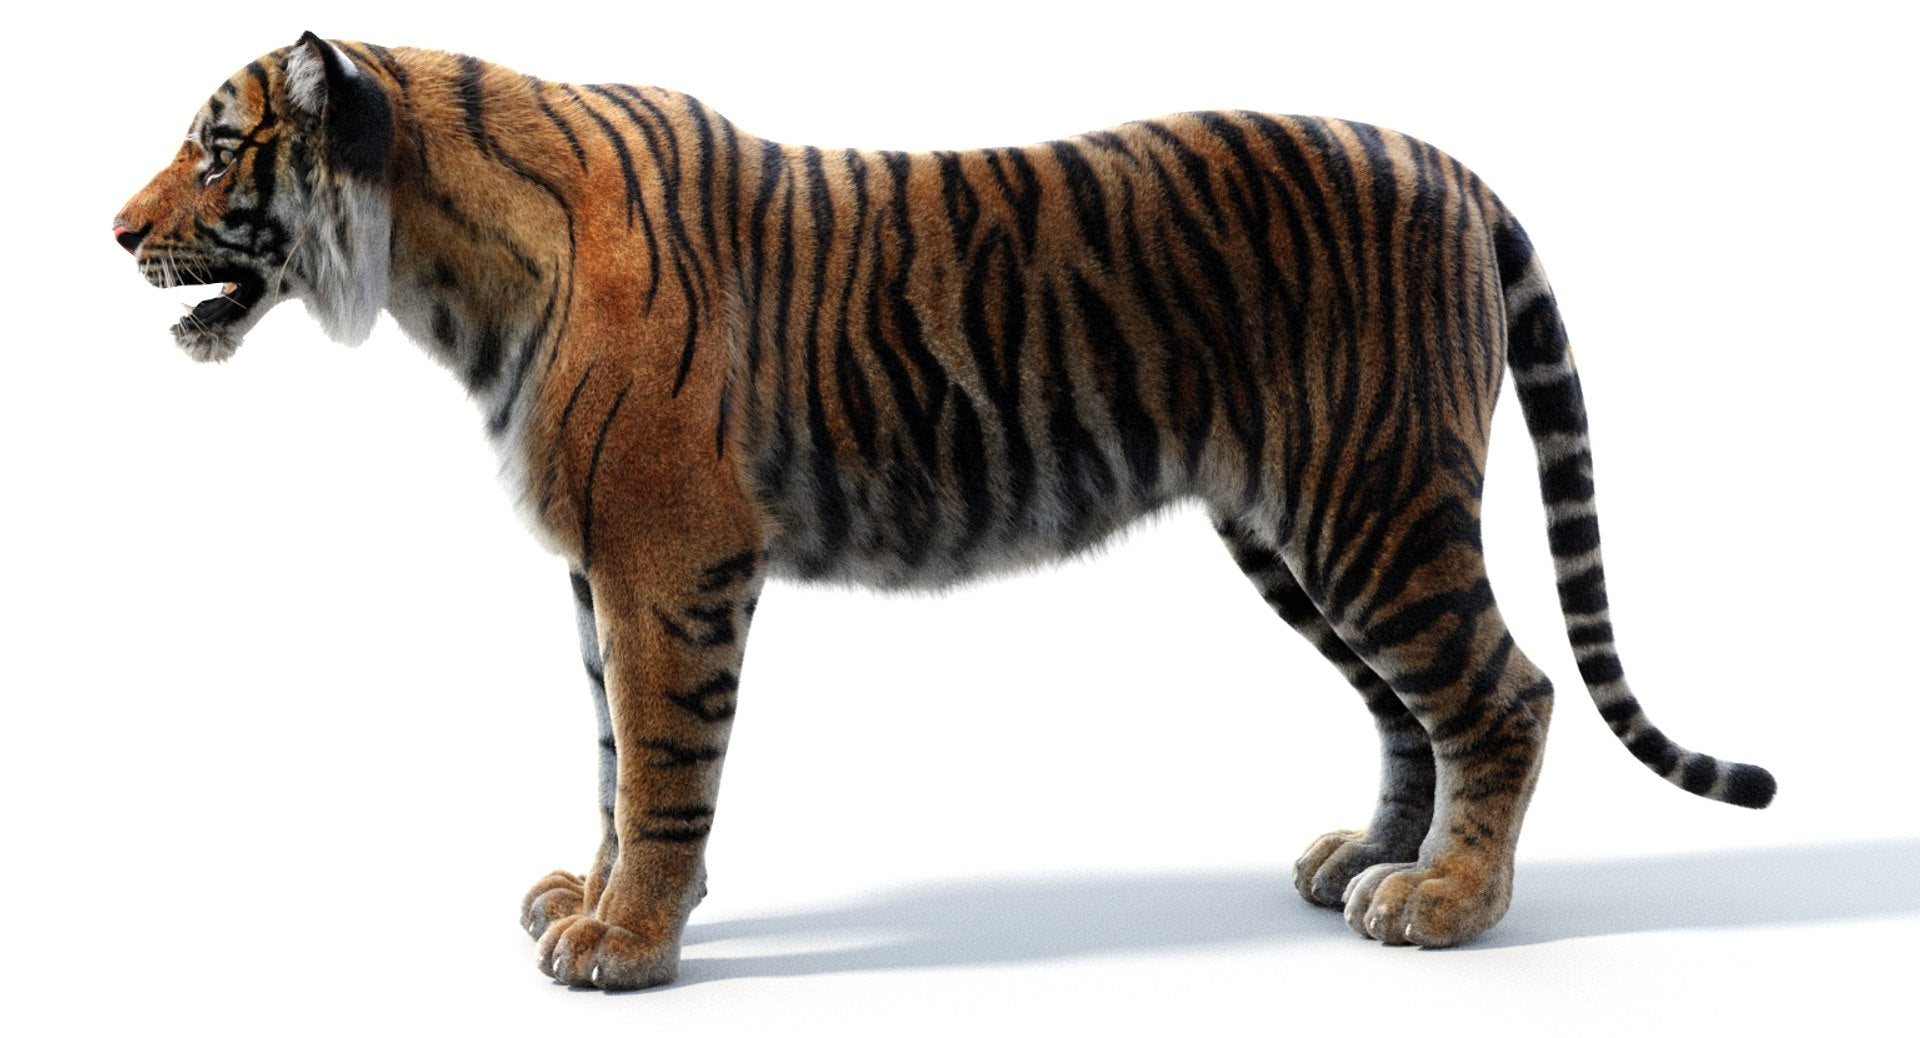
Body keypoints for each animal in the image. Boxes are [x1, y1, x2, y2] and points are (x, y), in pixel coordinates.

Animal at [115, 32, 1775, 989]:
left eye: (215, 146)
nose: (115, 230)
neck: (441, 270)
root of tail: (1449, 162)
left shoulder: (667, 558)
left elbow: (662, 760)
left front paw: (629, 939)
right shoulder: (599, 571)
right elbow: (607, 757)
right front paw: (586, 893)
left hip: (1372, 503)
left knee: (1502, 690)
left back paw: (1447, 904)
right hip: (1295, 530)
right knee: (1402, 707)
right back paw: (1366, 862)